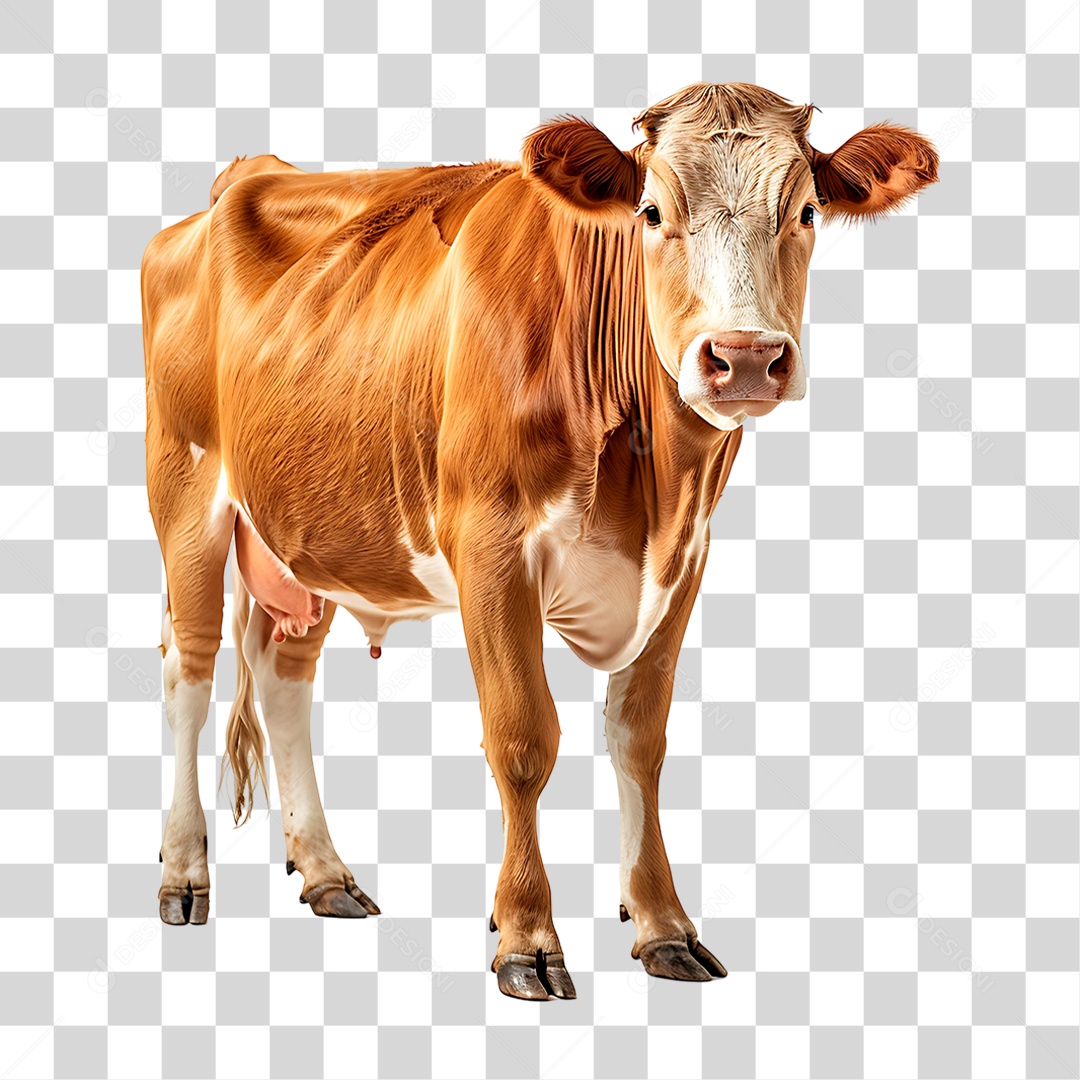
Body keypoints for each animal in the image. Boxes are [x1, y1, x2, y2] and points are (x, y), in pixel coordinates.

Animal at [141, 83, 938, 999]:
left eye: (806, 210)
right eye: (651, 211)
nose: (743, 358)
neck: (651, 485)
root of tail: (244, 175)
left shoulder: (684, 559)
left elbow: (640, 738)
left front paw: (662, 924)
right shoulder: (489, 546)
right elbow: (524, 738)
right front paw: (525, 936)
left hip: (312, 535)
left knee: (282, 677)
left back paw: (327, 874)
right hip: (187, 494)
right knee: (189, 673)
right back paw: (183, 873)